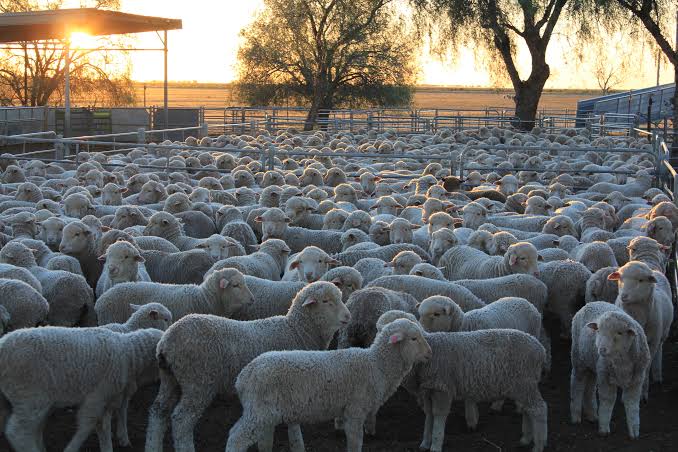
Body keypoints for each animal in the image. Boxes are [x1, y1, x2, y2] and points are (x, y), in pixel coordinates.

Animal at [0, 327, 162, 452]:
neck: (129, 354)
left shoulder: (106, 398)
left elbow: (103, 426)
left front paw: (107, 447)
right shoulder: (97, 395)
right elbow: (87, 425)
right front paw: (71, 448)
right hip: (29, 396)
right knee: (17, 432)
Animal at [144, 282, 351, 452]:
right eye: (326, 301)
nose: (348, 316)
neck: (296, 330)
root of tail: (166, 341)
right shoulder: (293, 385)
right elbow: (294, 426)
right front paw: (297, 446)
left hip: (170, 379)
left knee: (157, 413)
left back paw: (153, 446)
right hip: (198, 382)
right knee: (181, 420)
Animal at [225, 318, 431, 452]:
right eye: (414, 338)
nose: (430, 353)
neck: (377, 364)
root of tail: (243, 376)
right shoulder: (355, 409)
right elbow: (355, 442)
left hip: (264, 412)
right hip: (259, 411)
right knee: (236, 438)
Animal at [570, 302, 650, 439]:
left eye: (619, 333)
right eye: (598, 330)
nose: (602, 349)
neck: (621, 361)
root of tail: (591, 303)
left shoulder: (636, 380)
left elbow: (632, 403)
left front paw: (634, 431)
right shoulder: (605, 377)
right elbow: (608, 400)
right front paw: (603, 429)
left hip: (593, 364)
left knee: (590, 388)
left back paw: (592, 415)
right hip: (579, 360)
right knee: (577, 384)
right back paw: (575, 416)